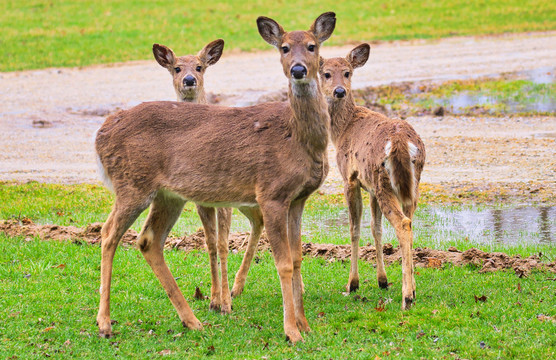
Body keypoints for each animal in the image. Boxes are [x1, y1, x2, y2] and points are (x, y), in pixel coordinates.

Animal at [152, 40, 237, 316]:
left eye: (200, 66)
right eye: (176, 68)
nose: (189, 79)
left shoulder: (225, 199)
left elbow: (223, 244)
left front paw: (226, 304)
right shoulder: (201, 201)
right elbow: (209, 243)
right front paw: (213, 300)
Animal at [318, 43, 426, 310]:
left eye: (347, 72)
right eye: (326, 73)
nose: (339, 91)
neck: (342, 130)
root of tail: (400, 141)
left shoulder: (350, 178)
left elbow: (354, 228)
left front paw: (352, 284)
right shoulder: (370, 187)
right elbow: (375, 228)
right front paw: (382, 280)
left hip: (384, 182)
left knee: (403, 224)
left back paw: (406, 297)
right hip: (409, 184)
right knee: (409, 221)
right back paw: (413, 289)